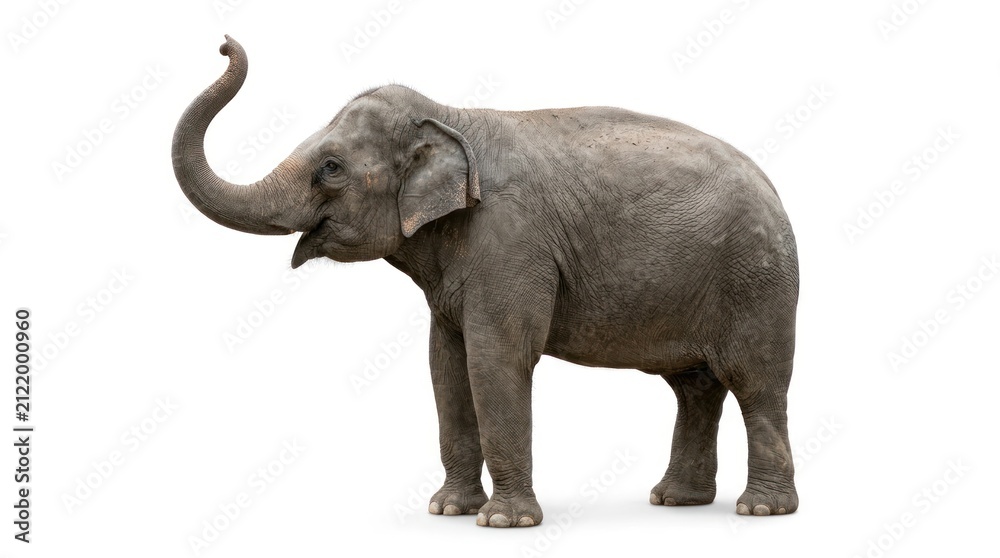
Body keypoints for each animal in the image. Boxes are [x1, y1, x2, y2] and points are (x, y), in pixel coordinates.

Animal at [172, 36, 800, 527]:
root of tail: (774, 189)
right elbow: (445, 365)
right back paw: (675, 501)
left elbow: (496, 358)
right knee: (695, 387)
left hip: (759, 281)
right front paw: (448, 510)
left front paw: (503, 522)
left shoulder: (512, 243)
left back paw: (760, 510)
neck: (449, 114)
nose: (223, 43)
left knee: (757, 384)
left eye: (330, 168)